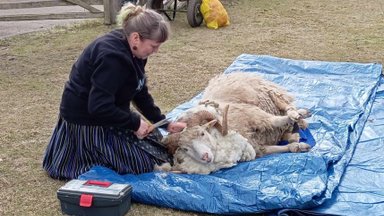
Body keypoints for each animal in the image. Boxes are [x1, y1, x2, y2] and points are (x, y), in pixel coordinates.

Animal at [156, 72, 312, 174]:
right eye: (185, 149)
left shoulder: (252, 114)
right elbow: (274, 149)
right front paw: (298, 146)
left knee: (285, 106)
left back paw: (300, 114)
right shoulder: (256, 146)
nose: (205, 157)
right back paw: (293, 134)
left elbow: (275, 120)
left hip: (268, 92)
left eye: (202, 133)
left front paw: (295, 118)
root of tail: (226, 74)